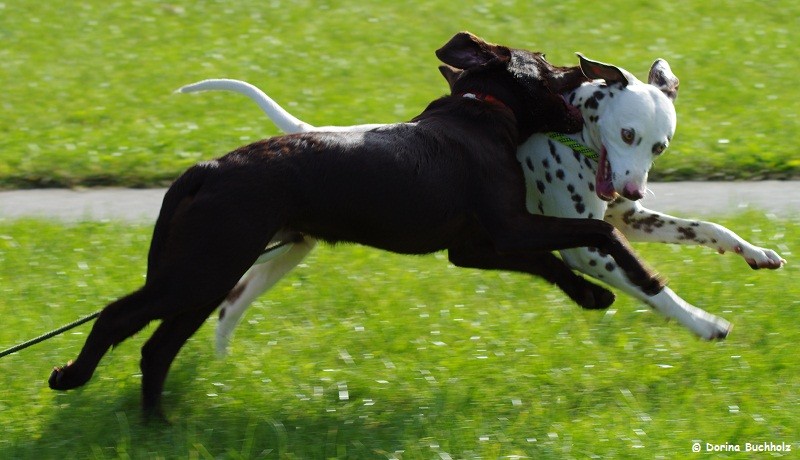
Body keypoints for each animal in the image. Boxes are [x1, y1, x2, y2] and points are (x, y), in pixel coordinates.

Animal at [178, 53, 784, 348]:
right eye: (628, 134)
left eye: (660, 145)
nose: (633, 187)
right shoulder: (590, 247)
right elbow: (652, 287)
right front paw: (702, 323)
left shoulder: (629, 220)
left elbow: (709, 229)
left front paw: (755, 252)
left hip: (287, 250)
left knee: (233, 302)